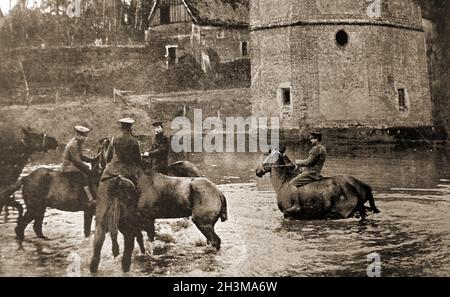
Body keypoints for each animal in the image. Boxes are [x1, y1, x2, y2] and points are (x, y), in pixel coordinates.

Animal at [90, 165, 229, 272]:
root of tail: (219, 193)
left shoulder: (146, 219)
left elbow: (149, 239)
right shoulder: (141, 222)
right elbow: (142, 239)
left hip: (202, 223)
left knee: (215, 240)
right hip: (208, 224)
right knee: (211, 240)